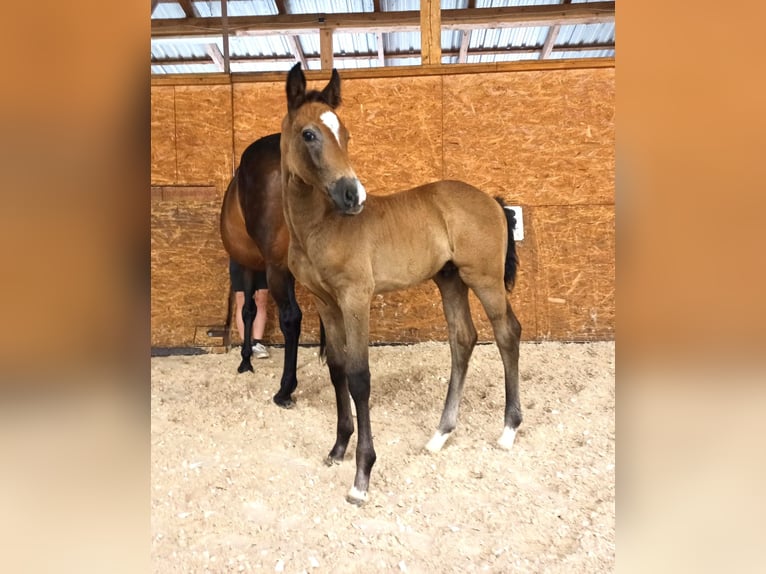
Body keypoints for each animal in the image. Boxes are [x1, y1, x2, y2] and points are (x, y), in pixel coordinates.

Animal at [222, 74, 342, 410]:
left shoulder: (248, 265)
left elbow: (249, 310)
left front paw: (245, 360)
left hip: (275, 267)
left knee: (291, 317)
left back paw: (285, 389)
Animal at [282, 62, 528, 504]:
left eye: (346, 135)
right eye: (309, 134)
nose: (353, 195)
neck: (319, 225)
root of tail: (492, 200)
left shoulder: (356, 298)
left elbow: (359, 377)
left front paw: (362, 476)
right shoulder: (326, 302)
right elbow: (338, 370)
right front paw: (338, 448)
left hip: (483, 278)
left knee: (507, 333)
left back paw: (508, 430)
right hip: (450, 281)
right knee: (463, 339)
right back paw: (440, 435)